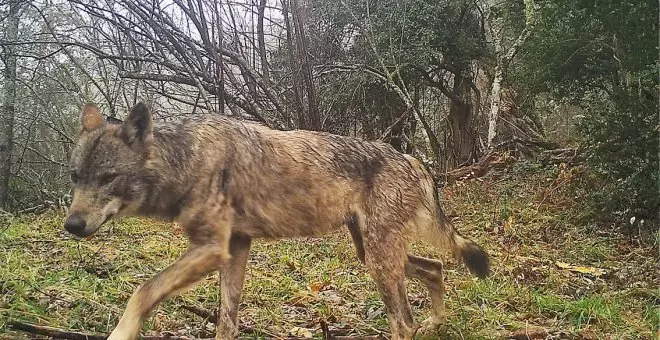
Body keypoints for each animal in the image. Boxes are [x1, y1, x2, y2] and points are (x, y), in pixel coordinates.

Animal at [65, 102, 490, 338]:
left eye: (108, 178)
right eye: (74, 177)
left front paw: (121, 333)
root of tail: (413, 159)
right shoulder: (235, 248)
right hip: (370, 253)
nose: (71, 226)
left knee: (404, 323)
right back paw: (437, 324)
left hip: (378, 262)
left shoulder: (211, 249)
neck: (187, 160)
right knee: (435, 269)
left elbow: (143, 291)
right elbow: (226, 322)